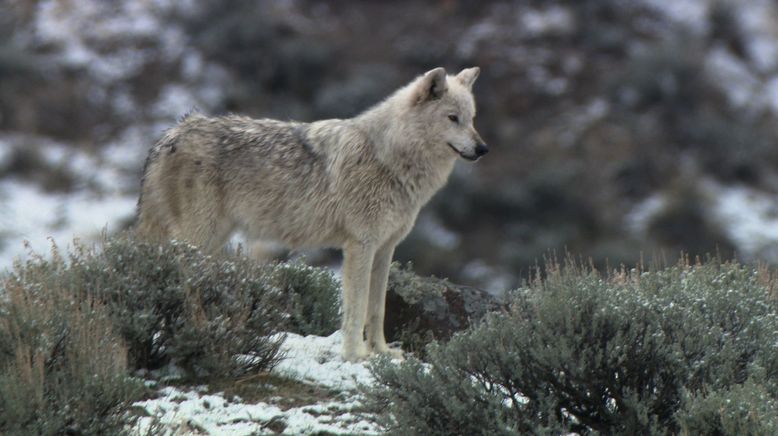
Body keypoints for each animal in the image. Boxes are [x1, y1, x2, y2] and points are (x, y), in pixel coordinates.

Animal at [134, 67, 484, 362]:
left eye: (472, 118)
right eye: (452, 118)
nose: (483, 149)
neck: (388, 158)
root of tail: (171, 134)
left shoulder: (385, 249)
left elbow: (377, 310)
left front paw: (381, 352)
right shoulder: (360, 246)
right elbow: (356, 309)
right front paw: (355, 356)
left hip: (211, 240)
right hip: (198, 239)